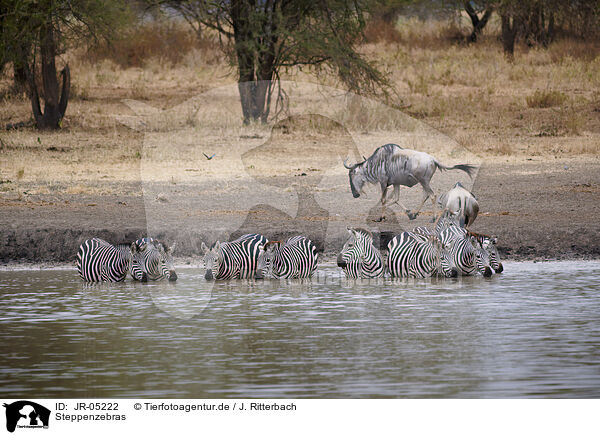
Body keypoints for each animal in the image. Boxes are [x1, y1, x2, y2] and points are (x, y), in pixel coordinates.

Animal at [344, 144, 476, 221]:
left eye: (351, 175)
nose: (355, 194)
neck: (376, 164)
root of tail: (433, 160)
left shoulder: (383, 183)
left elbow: (383, 200)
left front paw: (381, 217)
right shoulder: (395, 183)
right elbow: (396, 199)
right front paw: (409, 213)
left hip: (424, 181)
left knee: (432, 195)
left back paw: (433, 218)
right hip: (424, 182)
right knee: (425, 195)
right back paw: (415, 213)